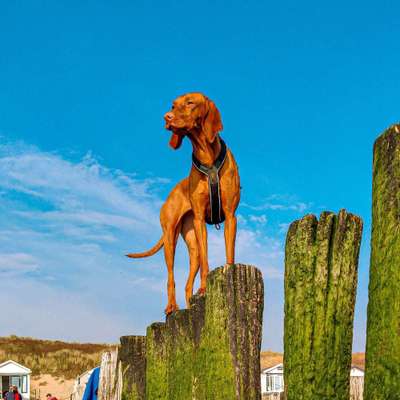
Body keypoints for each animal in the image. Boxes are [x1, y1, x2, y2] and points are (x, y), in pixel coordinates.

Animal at [163, 93, 239, 294]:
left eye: (190, 102)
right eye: (173, 105)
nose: (167, 117)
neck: (207, 156)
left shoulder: (230, 216)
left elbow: (230, 253)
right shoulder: (199, 220)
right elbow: (206, 261)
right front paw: (204, 287)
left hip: (192, 248)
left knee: (188, 284)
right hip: (169, 238)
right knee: (171, 279)